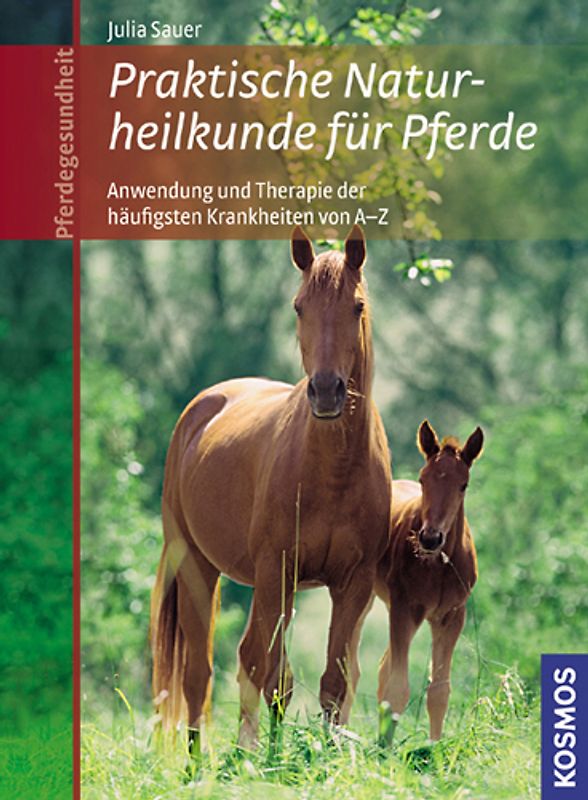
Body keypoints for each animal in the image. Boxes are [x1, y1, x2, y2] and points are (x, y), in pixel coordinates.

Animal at [150, 225, 392, 756]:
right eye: (299, 306)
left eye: (357, 306)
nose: (326, 391)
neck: (332, 471)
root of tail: (203, 406)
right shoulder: (276, 572)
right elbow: (277, 679)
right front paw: (274, 760)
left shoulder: (353, 584)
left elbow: (333, 682)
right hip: (198, 567)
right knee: (200, 675)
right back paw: (198, 765)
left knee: (242, 660)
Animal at [375, 419, 483, 745]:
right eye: (423, 480)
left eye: (463, 484)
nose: (430, 538)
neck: (439, 566)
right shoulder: (404, 607)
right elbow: (398, 687)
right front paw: (384, 752)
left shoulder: (451, 616)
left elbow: (439, 691)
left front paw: (433, 749)